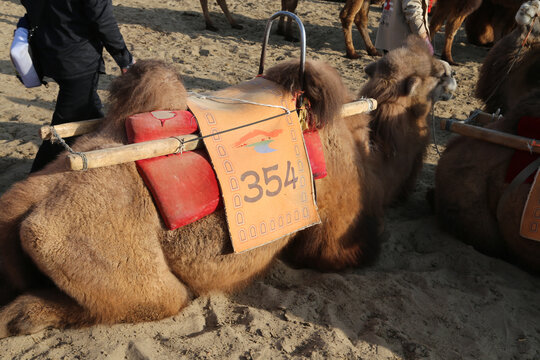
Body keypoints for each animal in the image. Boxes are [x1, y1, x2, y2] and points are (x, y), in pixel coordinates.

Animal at [0, 38, 456, 338]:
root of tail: (28, 204)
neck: (367, 151)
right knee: (157, 298)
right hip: (99, 254)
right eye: (430, 75)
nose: (452, 73)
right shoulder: (336, 232)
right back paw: (23, 317)